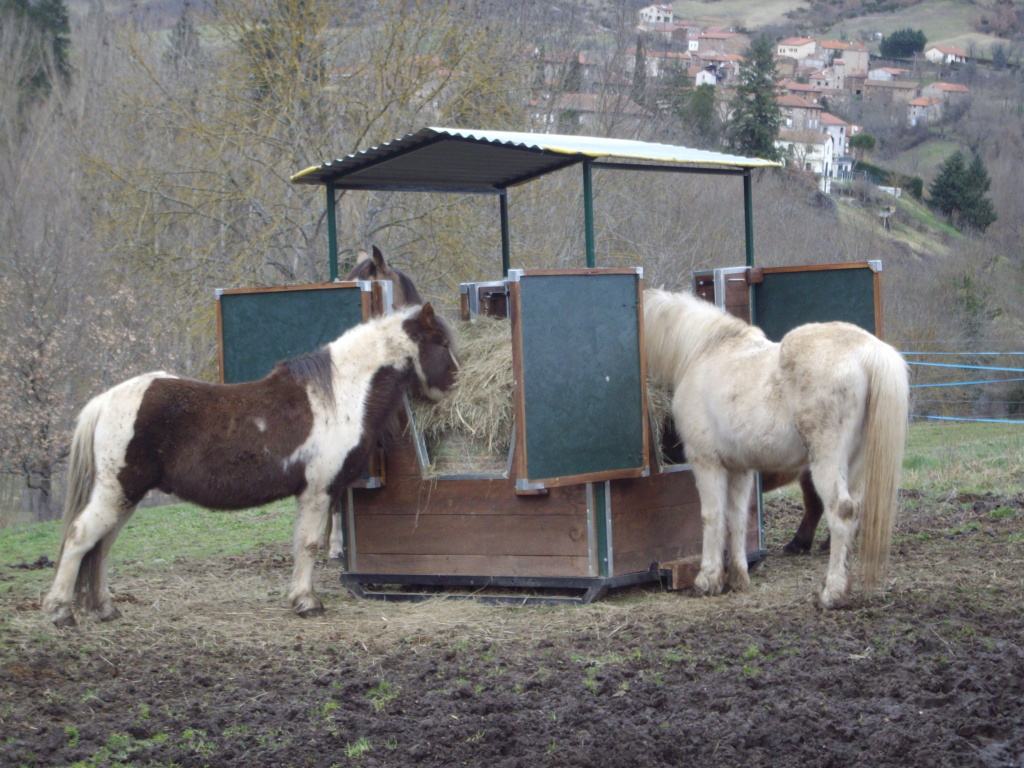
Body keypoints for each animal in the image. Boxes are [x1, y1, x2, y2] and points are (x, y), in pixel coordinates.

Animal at [43, 303, 452, 626]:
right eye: (443, 344)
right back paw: (61, 612)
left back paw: (105, 609)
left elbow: (302, 543)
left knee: (102, 546)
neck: (338, 396)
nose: (453, 386)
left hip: (125, 496)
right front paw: (307, 603)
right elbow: (308, 544)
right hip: (117, 492)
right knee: (81, 537)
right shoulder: (318, 491)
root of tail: (105, 401)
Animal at [643, 290, 909, 610]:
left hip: (826, 461)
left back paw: (831, 593)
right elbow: (737, 517)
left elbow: (712, 517)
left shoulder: (706, 462)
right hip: (855, 466)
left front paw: (707, 580)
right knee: (853, 513)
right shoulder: (740, 468)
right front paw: (737, 578)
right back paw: (841, 587)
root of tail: (869, 352)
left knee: (840, 512)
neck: (703, 351)